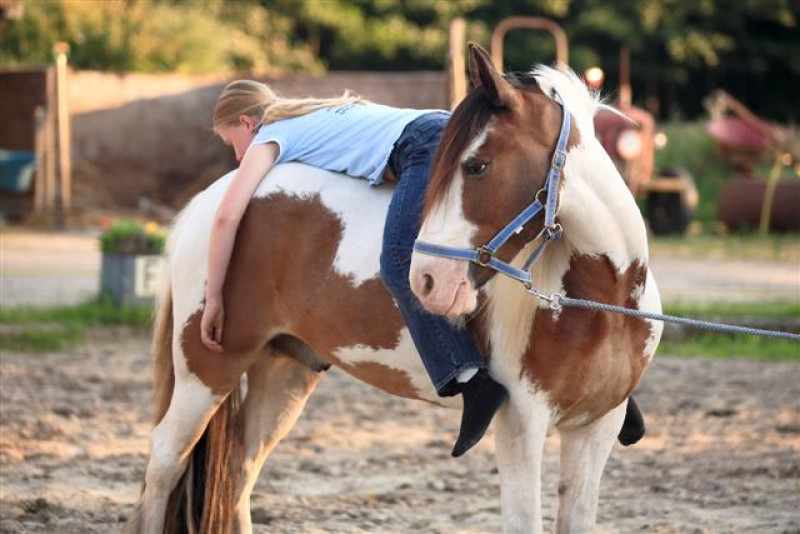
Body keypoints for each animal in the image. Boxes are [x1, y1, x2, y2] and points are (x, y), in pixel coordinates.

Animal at [123, 43, 662, 534]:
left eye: (477, 165)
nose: (427, 281)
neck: (600, 298)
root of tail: (210, 203)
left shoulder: (596, 429)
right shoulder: (521, 428)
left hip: (284, 369)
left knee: (240, 471)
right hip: (206, 372)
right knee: (164, 462)